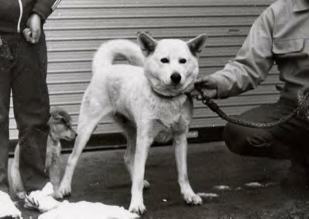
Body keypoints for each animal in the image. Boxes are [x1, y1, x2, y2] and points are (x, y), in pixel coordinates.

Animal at [55, 32, 207, 214]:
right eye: (164, 60)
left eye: (183, 61)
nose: (176, 76)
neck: (167, 100)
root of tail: (105, 68)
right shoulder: (145, 139)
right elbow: (139, 174)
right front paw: (136, 204)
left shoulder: (181, 138)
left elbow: (183, 174)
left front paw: (189, 195)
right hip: (87, 130)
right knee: (72, 159)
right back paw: (64, 188)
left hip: (134, 132)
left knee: (128, 157)